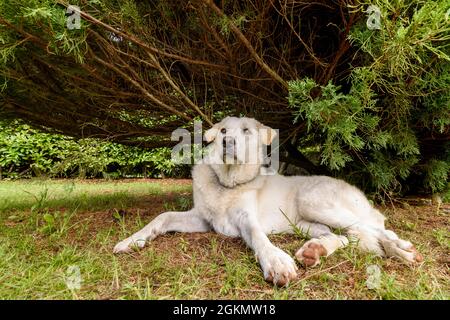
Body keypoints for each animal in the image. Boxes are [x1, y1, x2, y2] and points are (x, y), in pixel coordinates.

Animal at [114, 116, 424, 286]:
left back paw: (402, 250)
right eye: (223, 131)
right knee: (347, 235)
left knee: (375, 229)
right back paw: (315, 250)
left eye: (246, 131)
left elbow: (257, 237)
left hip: (315, 201)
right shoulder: (202, 219)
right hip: (307, 223)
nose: (227, 143)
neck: (228, 183)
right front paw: (133, 240)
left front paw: (275, 261)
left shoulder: (245, 219)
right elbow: (162, 216)